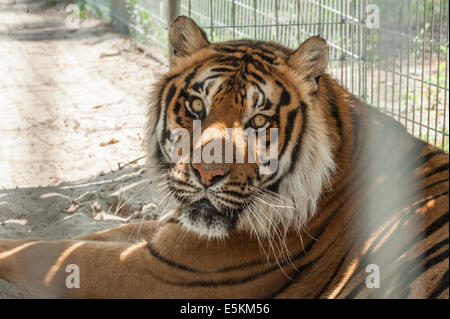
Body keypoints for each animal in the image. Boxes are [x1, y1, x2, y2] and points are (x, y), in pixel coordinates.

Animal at [0, 16, 446, 298]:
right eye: (197, 106)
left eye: (259, 120)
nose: (206, 172)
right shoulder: (165, 236)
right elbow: (76, 237)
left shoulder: (163, 269)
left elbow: (48, 253)